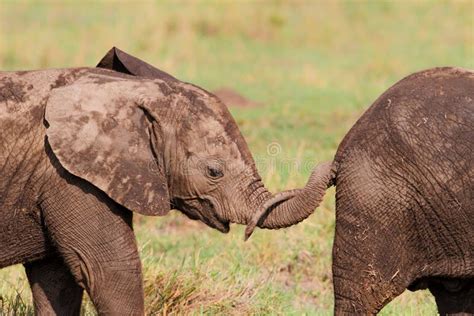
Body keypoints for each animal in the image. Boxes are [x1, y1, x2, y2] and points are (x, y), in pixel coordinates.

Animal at [0, 48, 278, 314]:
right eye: (214, 171)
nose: (247, 234)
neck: (128, 90)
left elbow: (56, 280)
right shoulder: (67, 177)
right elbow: (110, 270)